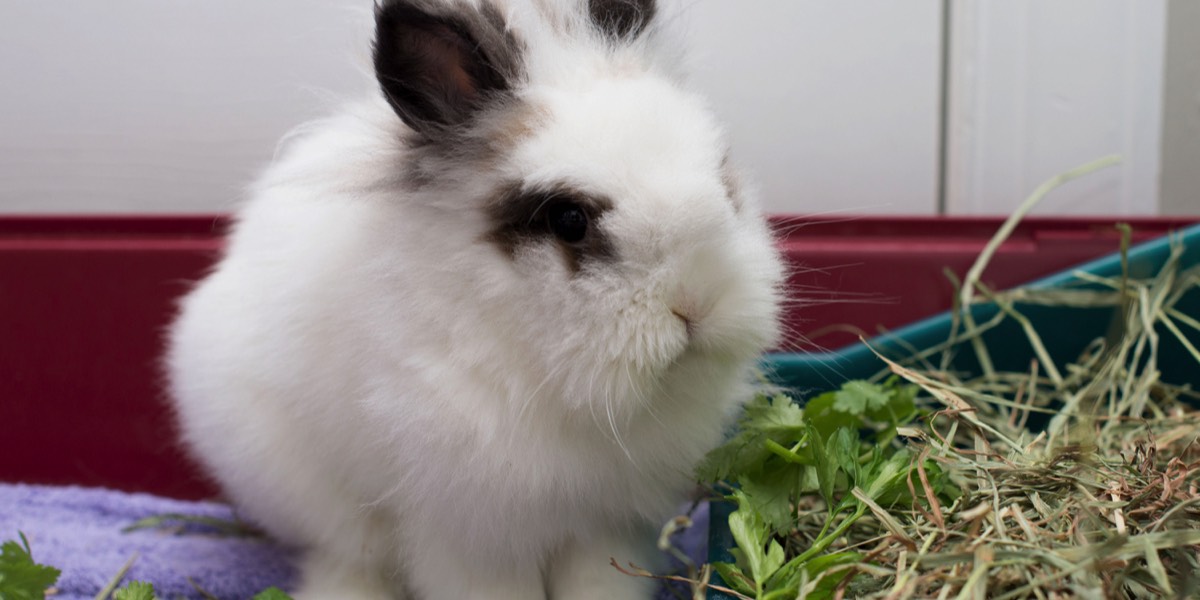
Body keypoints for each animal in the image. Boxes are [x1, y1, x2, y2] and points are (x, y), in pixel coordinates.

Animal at [169, 1, 787, 600]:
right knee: (346, 558)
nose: (696, 303)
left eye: (722, 179)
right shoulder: (469, 534)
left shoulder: (606, 525)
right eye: (569, 220)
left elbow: (599, 582)